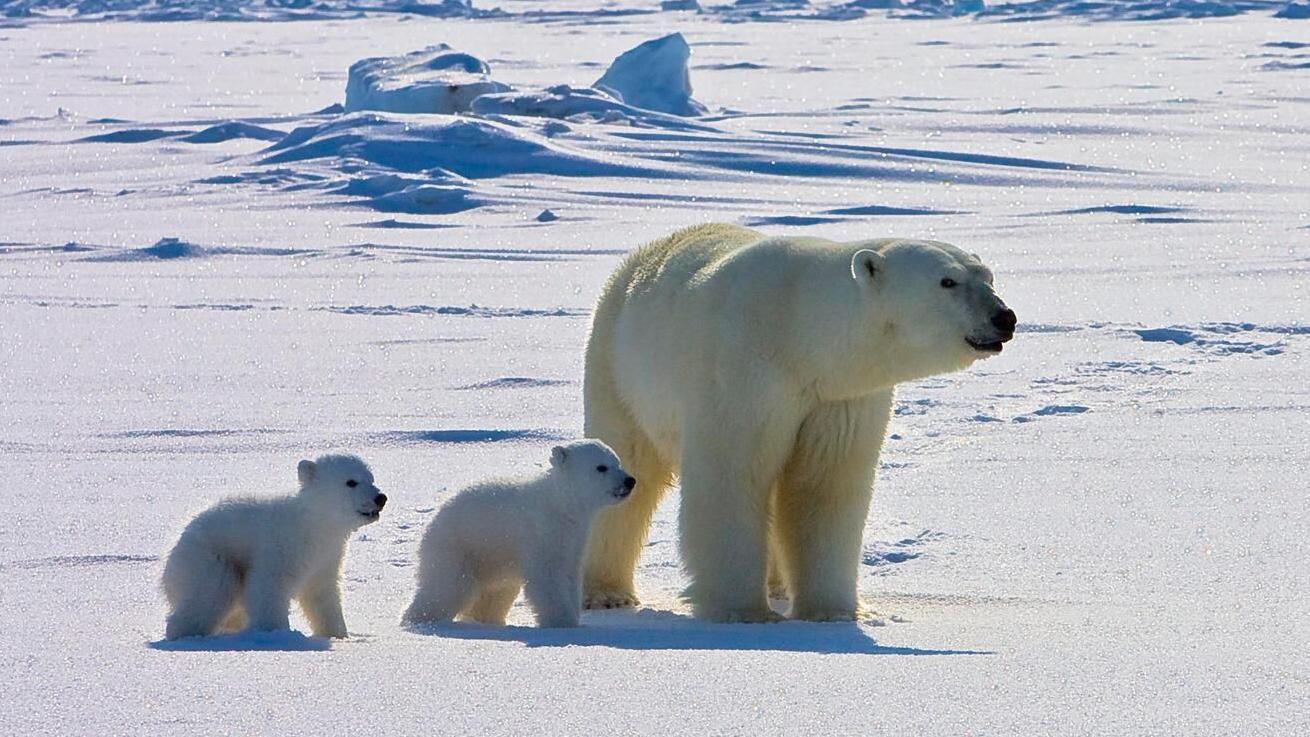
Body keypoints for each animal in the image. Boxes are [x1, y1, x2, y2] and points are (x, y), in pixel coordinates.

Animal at [159, 455, 382, 641]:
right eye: (351, 482)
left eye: (371, 478)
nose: (381, 498)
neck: (312, 526)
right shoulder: (280, 547)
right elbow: (268, 588)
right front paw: (275, 633)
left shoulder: (326, 558)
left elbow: (322, 595)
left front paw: (337, 634)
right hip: (210, 557)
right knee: (211, 592)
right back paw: (185, 633)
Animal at [406, 442, 636, 630]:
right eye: (601, 467)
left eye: (617, 461)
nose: (630, 480)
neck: (560, 504)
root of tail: (430, 527)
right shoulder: (541, 532)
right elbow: (548, 577)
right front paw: (562, 622)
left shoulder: (574, 538)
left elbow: (570, 574)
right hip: (459, 547)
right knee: (446, 588)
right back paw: (420, 619)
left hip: (492, 562)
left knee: (495, 595)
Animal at [586, 223, 1021, 623]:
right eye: (947, 281)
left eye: (988, 277)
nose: (1005, 317)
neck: (799, 333)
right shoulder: (743, 375)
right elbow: (734, 477)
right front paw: (743, 612)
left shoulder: (838, 398)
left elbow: (823, 485)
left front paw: (833, 613)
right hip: (618, 367)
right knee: (629, 465)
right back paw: (606, 593)